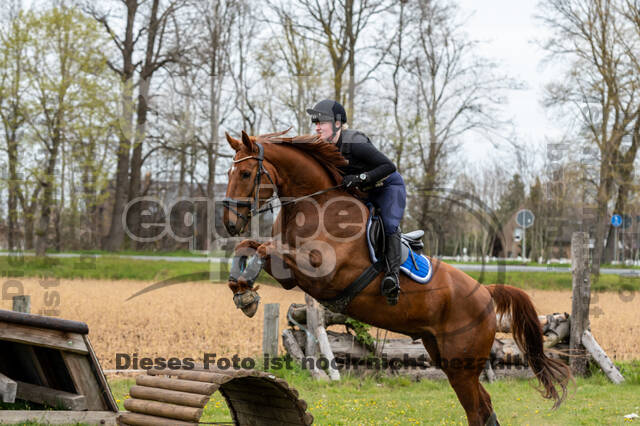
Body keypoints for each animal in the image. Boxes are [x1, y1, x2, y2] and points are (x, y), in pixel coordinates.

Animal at [221, 131, 568, 426]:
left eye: (246, 174)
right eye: (229, 173)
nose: (229, 223)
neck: (317, 206)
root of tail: (485, 291)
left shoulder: (321, 273)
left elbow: (263, 247)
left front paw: (246, 291)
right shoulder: (291, 275)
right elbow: (249, 246)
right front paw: (241, 290)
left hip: (463, 364)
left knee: (479, 410)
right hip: (445, 357)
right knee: (483, 408)